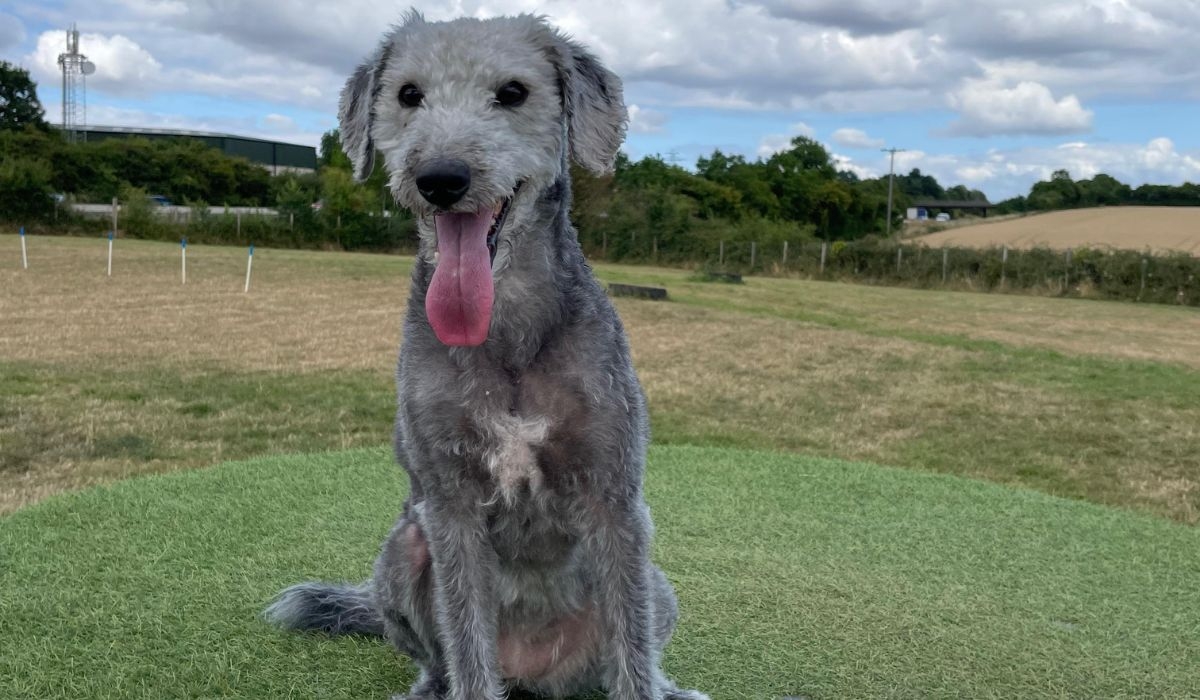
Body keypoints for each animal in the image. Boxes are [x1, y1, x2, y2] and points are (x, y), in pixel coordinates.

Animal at [267, 10, 705, 700]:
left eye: (513, 92)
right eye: (409, 94)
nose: (441, 179)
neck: (506, 332)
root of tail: (533, 672)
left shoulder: (615, 499)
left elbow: (633, 656)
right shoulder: (450, 508)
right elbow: (467, 640)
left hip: (658, 586)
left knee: (629, 652)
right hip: (401, 552)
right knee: (437, 657)